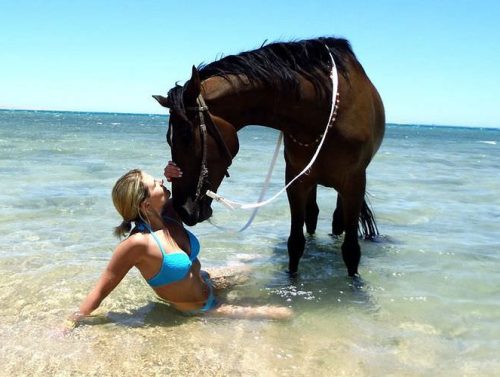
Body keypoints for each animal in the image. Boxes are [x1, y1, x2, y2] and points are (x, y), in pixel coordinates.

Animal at [154, 36, 384, 274]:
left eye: (186, 136)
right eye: (169, 139)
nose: (182, 210)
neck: (321, 114)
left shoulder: (354, 183)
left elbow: (351, 250)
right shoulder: (297, 180)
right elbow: (295, 243)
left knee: (338, 220)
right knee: (312, 215)